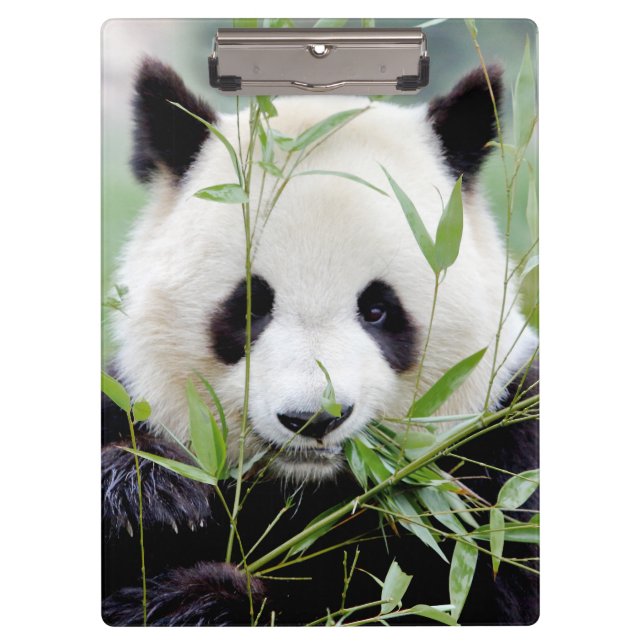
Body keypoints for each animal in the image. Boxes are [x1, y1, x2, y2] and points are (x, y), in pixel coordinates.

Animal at [102, 58, 539, 626]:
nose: (314, 418)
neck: (305, 489)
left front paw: (201, 600)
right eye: (250, 307)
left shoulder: (499, 468)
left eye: (377, 310)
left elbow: (452, 594)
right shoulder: (133, 402)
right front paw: (152, 499)